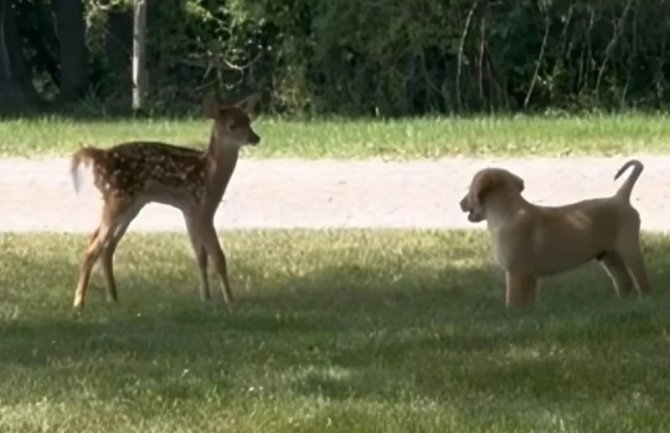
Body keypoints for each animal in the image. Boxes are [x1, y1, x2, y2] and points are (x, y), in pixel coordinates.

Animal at [462, 160, 652, 306]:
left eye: (470, 189)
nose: (460, 203)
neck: (507, 212)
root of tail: (621, 197)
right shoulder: (527, 277)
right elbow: (527, 303)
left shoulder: (516, 274)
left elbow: (513, 303)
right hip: (608, 256)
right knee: (624, 281)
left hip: (629, 250)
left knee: (641, 281)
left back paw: (644, 301)